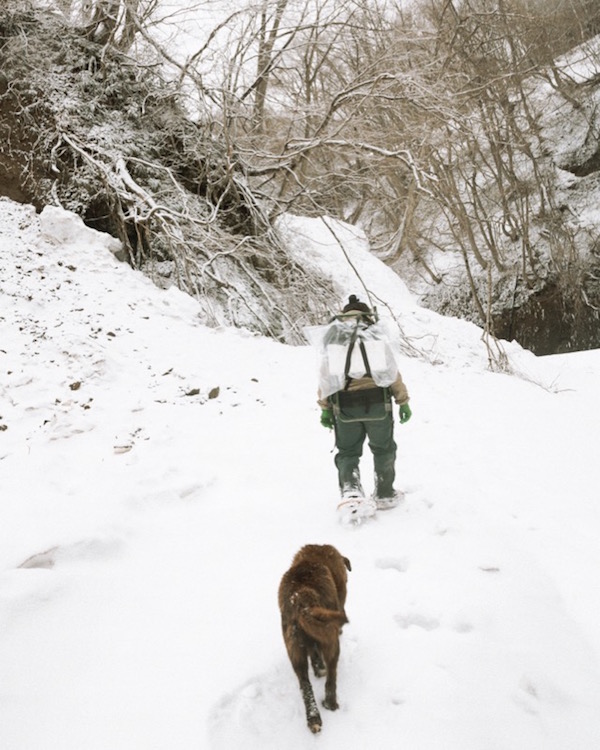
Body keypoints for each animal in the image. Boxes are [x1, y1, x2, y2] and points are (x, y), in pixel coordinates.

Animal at [278, 548, 352, 736]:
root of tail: (301, 600)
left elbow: (313, 652)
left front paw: (318, 667)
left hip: (295, 649)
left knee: (305, 685)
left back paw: (313, 718)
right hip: (331, 642)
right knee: (331, 677)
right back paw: (331, 703)